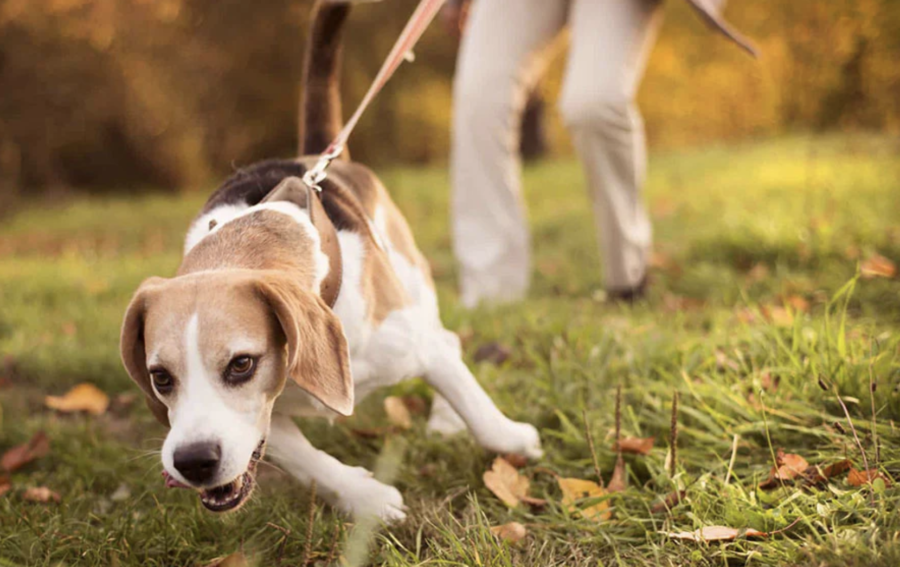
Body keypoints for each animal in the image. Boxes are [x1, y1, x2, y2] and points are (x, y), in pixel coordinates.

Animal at [119, 0, 540, 524]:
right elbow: (305, 459)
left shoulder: (414, 344)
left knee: (448, 341)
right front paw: (367, 498)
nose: (193, 461)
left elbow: (475, 405)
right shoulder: (266, 419)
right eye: (160, 377)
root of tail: (315, 156)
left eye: (241, 365)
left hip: (413, 284)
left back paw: (446, 419)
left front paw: (515, 440)